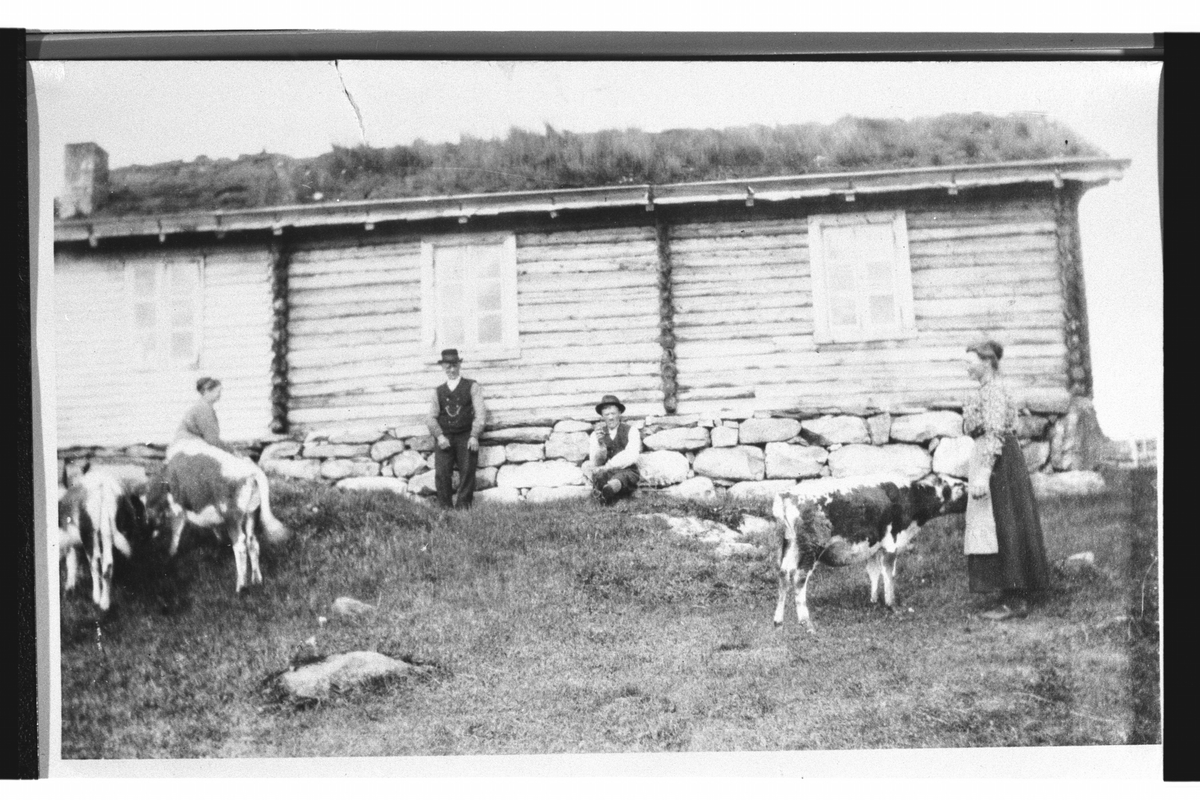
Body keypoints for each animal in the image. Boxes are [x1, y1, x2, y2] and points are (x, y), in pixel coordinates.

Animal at [146, 438, 289, 594]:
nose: (150, 536)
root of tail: (251, 469)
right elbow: (214, 527)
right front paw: (220, 542)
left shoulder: (177, 507)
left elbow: (176, 532)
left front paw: (171, 554)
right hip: (252, 512)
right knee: (253, 542)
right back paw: (256, 580)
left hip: (232, 516)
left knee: (240, 545)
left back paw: (241, 586)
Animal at [777, 474, 964, 633]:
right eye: (959, 485)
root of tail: (788, 494)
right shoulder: (891, 542)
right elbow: (888, 574)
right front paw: (892, 605)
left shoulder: (874, 547)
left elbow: (873, 572)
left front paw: (873, 601)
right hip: (811, 547)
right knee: (799, 578)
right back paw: (806, 623)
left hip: (790, 545)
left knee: (784, 574)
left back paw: (778, 621)